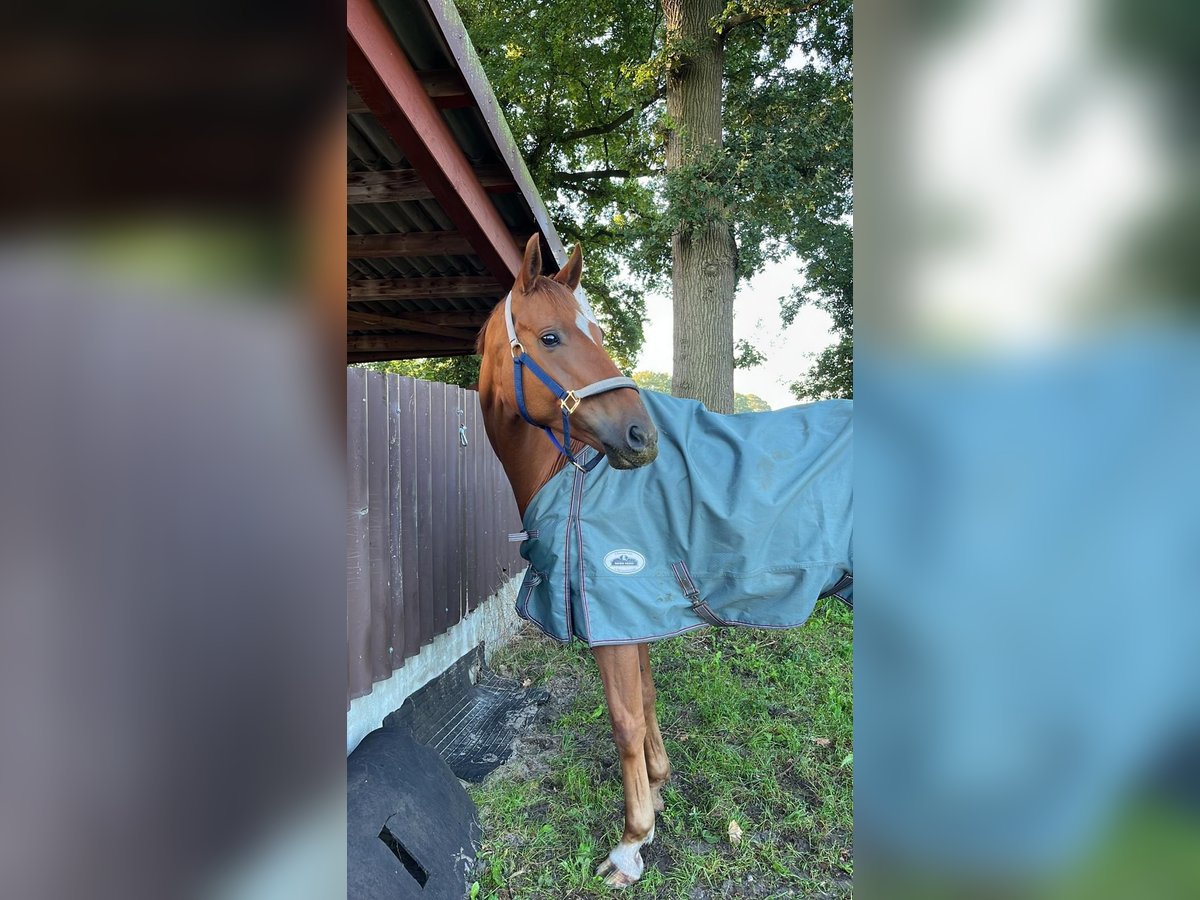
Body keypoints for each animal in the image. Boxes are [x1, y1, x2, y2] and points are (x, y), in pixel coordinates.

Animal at [477, 234, 667, 888]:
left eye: (600, 331)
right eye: (553, 337)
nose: (642, 436)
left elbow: (625, 719)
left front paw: (632, 844)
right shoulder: (628, 616)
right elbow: (645, 698)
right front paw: (659, 788)